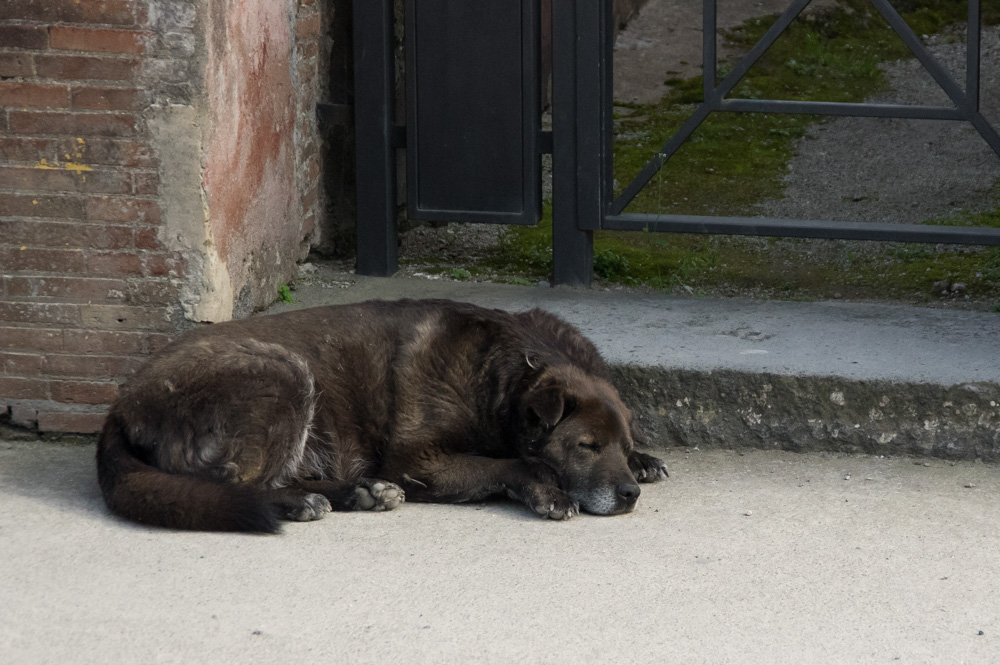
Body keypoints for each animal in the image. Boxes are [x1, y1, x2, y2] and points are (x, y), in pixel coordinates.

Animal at [97, 298, 668, 532]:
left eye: (620, 444)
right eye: (586, 447)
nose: (628, 496)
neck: (504, 376)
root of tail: (122, 405)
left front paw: (644, 460)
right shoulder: (418, 459)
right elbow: (515, 463)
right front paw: (547, 489)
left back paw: (359, 492)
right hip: (281, 373)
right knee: (237, 483)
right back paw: (306, 501)